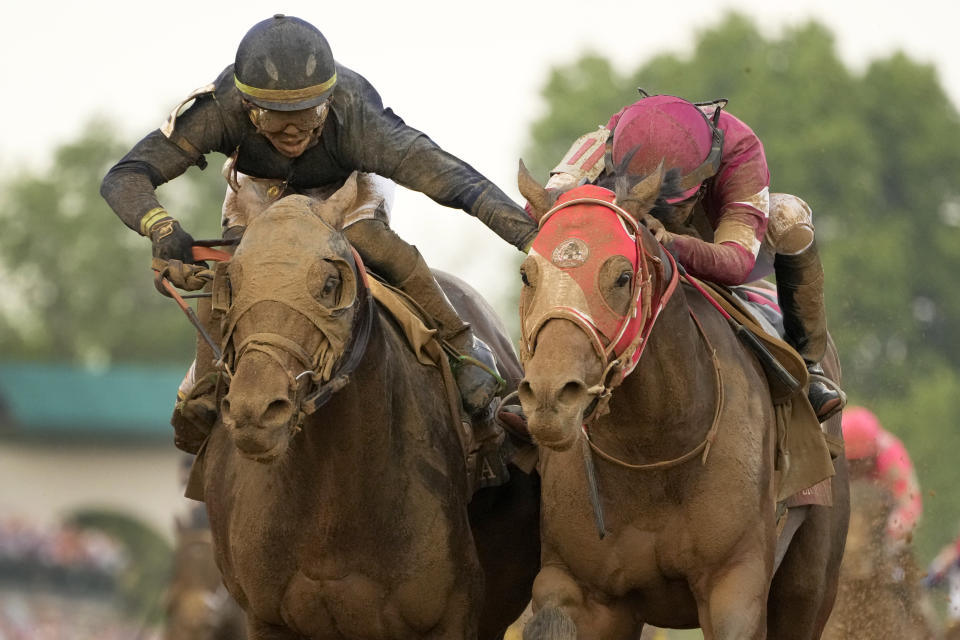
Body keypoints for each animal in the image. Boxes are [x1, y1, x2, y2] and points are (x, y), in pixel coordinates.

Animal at [195, 181, 540, 640]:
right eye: (230, 283)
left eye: (329, 283)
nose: (256, 409)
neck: (331, 507)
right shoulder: (267, 619)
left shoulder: (450, 616)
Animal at [516, 166, 848, 640]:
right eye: (527, 274)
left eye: (622, 276)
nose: (550, 395)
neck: (653, 449)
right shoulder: (579, 591)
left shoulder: (735, 582)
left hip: (811, 578)